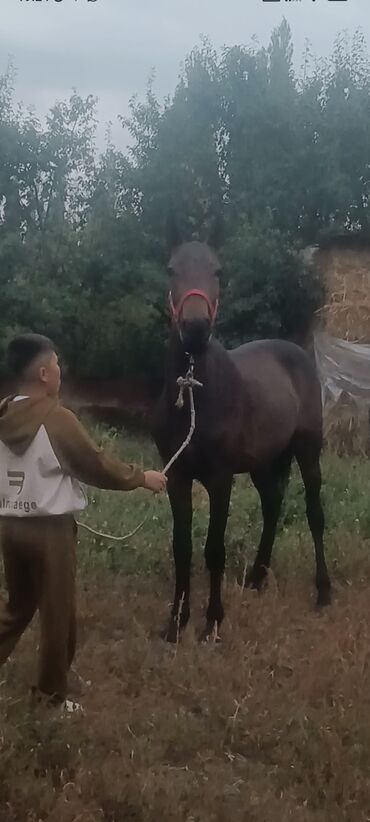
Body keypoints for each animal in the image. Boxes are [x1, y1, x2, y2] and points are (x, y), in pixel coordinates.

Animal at [152, 222, 330, 648]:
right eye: (171, 269)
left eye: (218, 270)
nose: (195, 328)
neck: (196, 390)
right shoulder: (177, 477)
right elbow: (182, 547)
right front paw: (176, 622)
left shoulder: (219, 480)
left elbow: (213, 549)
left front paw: (212, 622)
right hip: (265, 463)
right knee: (273, 507)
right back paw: (258, 576)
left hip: (308, 450)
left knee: (314, 514)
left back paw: (323, 590)